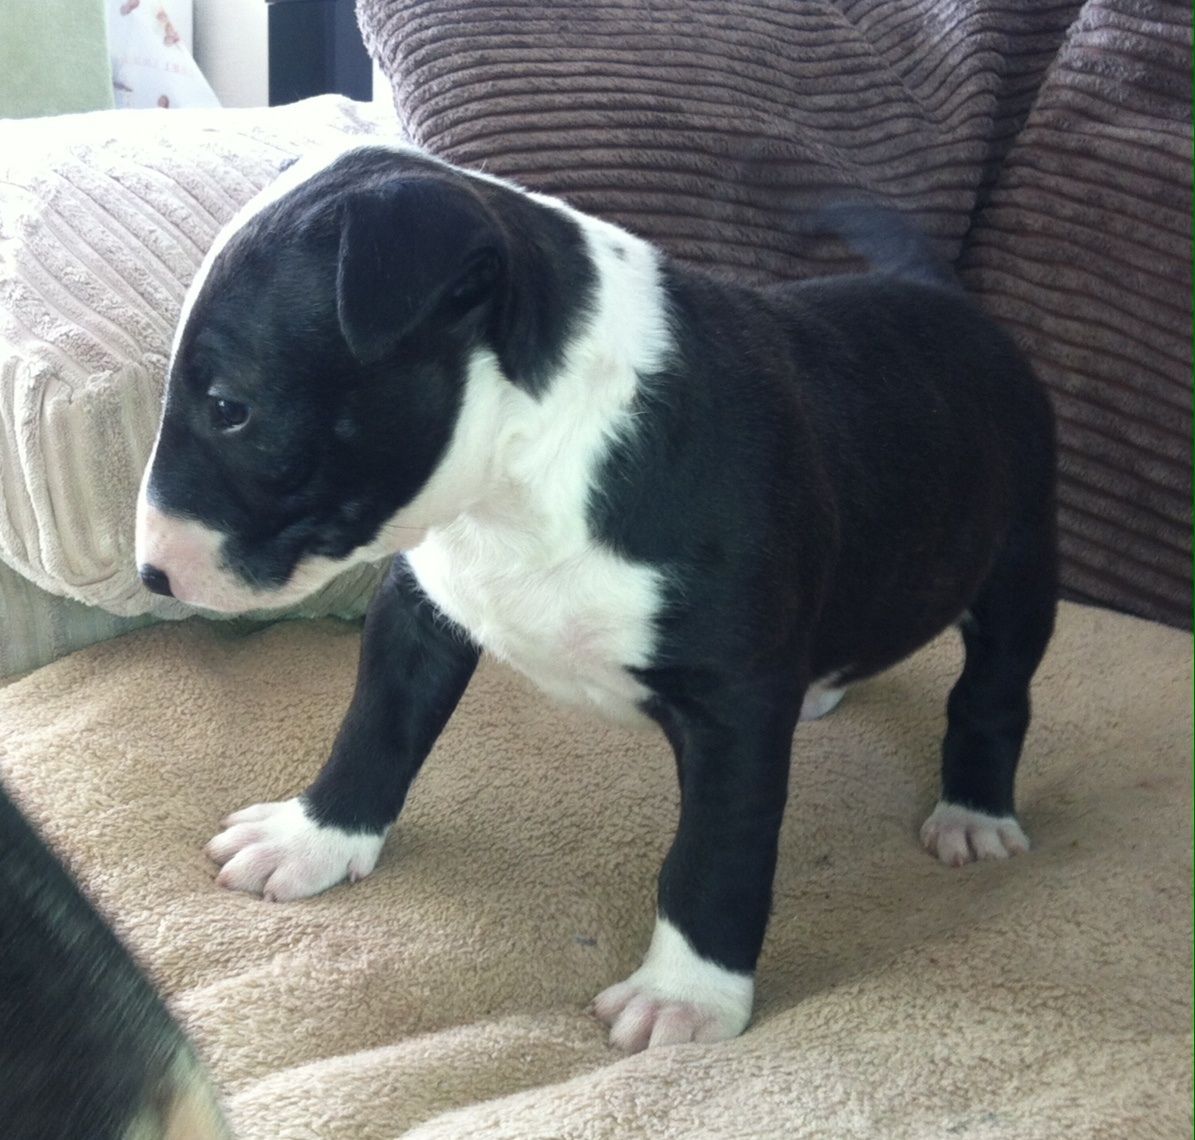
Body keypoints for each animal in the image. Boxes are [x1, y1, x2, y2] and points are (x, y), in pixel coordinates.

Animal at [135, 146, 1061, 1051]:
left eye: (229, 408)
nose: (151, 573)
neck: (529, 473)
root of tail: (947, 298)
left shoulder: (733, 705)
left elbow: (716, 852)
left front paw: (687, 997)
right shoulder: (420, 612)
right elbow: (374, 729)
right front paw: (314, 836)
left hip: (1017, 563)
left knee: (991, 693)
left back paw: (974, 809)